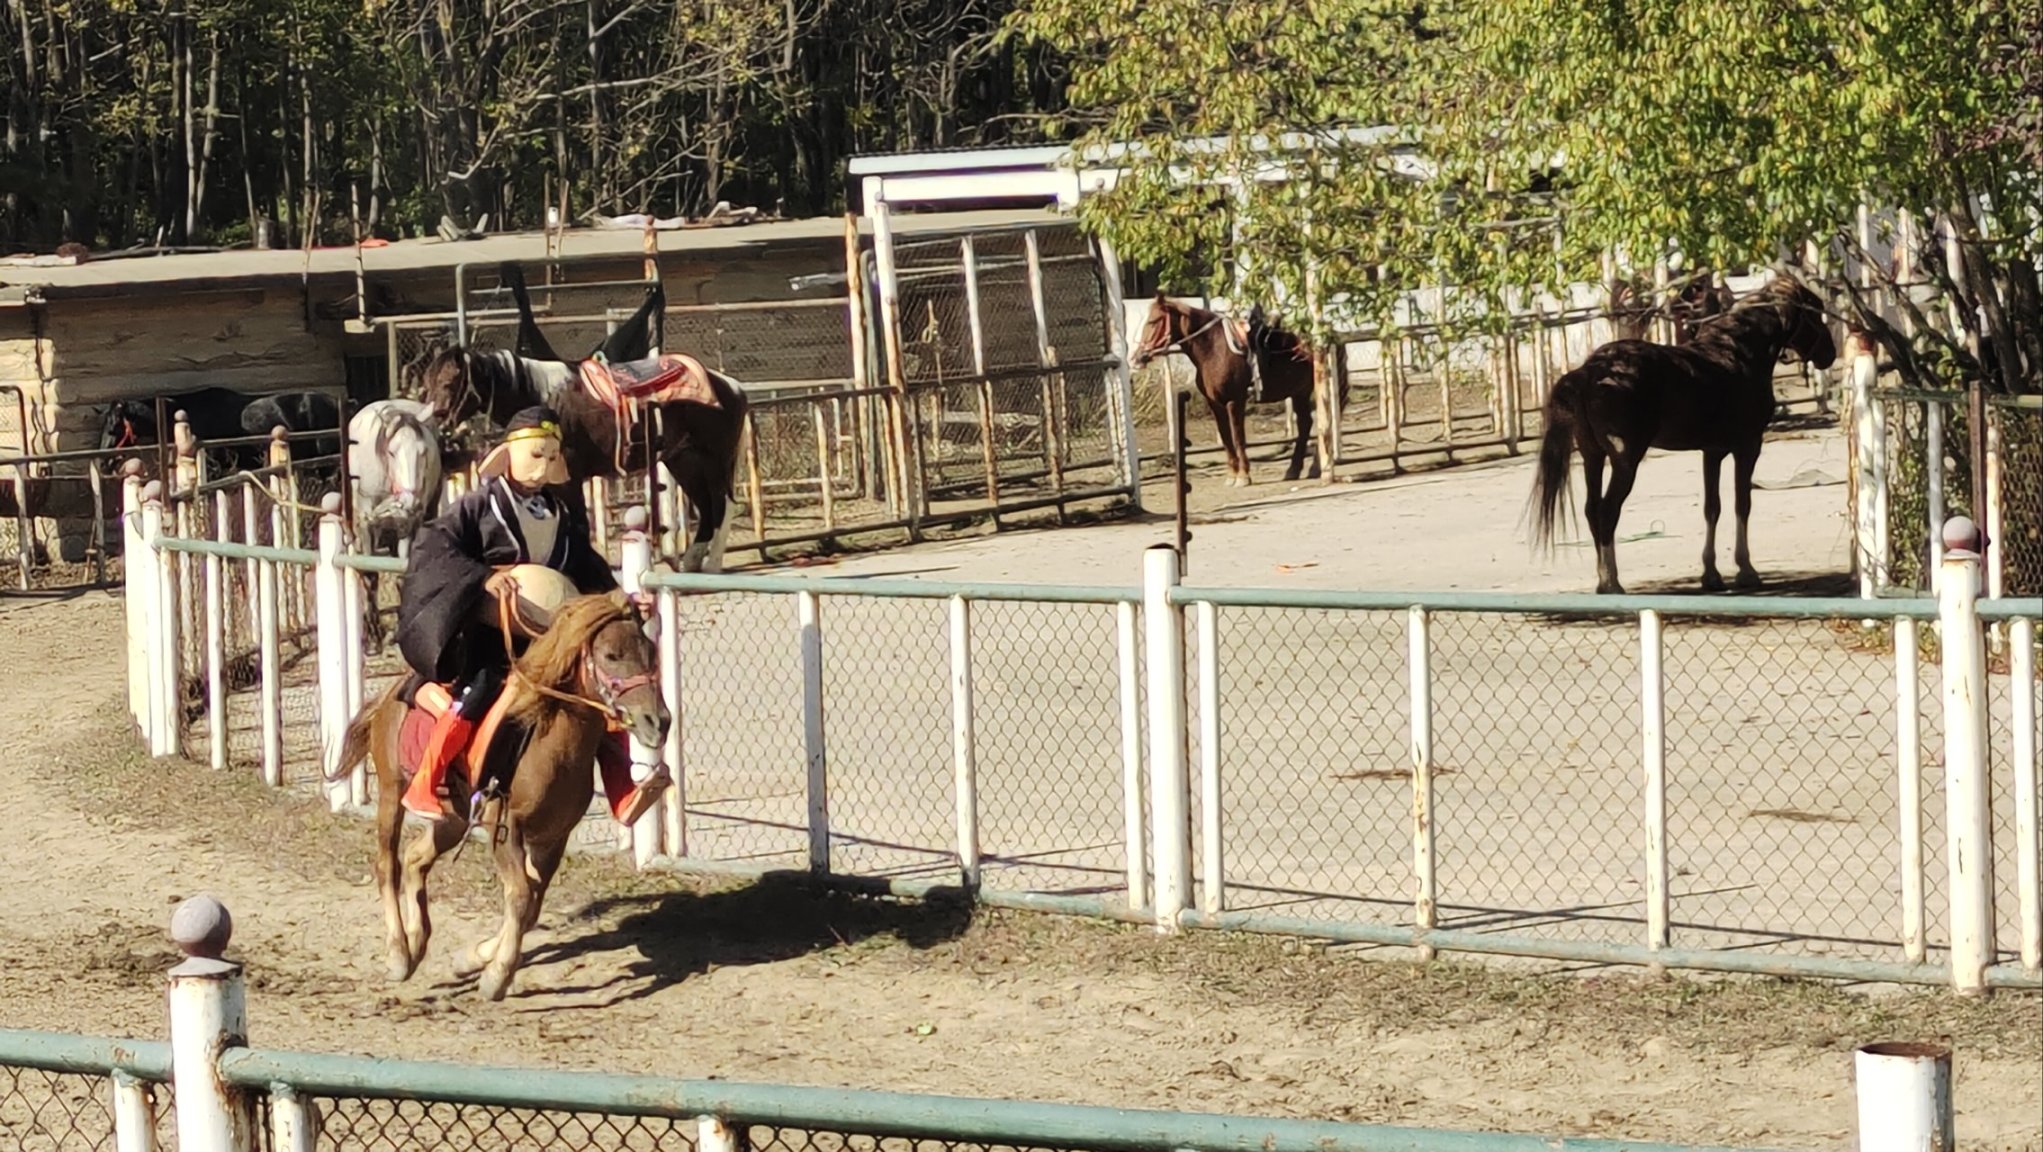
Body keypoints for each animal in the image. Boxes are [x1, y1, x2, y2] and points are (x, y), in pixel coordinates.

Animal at [333, 592, 670, 1000]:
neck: (548, 744)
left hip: (454, 816)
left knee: (415, 859)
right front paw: (496, 975)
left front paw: (473, 960)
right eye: (611, 655)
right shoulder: (505, 827)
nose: (659, 722)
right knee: (388, 864)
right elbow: (522, 896)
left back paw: (417, 942)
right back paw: (399, 953)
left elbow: (532, 904)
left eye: (650, 651)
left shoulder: (553, 838)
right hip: (390, 791)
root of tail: (389, 695)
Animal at [1127, 292, 1332, 486]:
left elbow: (1237, 437)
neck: (1213, 350)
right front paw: (1232, 475)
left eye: (1154, 321)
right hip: (1299, 394)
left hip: (1305, 392)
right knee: (1307, 424)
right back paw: (1298, 470)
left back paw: (1310, 468)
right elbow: (1226, 438)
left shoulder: (1235, 400)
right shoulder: (1215, 404)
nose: (1137, 357)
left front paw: (1243, 476)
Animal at [1528, 271, 1846, 592]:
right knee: (1607, 512)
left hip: (1593, 457)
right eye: (1815, 312)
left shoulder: (1712, 452)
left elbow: (1712, 508)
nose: (1829, 354)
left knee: (1592, 510)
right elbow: (1742, 504)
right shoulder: (1748, 447)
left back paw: (1603, 582)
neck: (1737, 354)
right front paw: (1746, 570)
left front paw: (1711, 575)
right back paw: (1612, 582)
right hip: (1624, 461)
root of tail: (1591, 371)